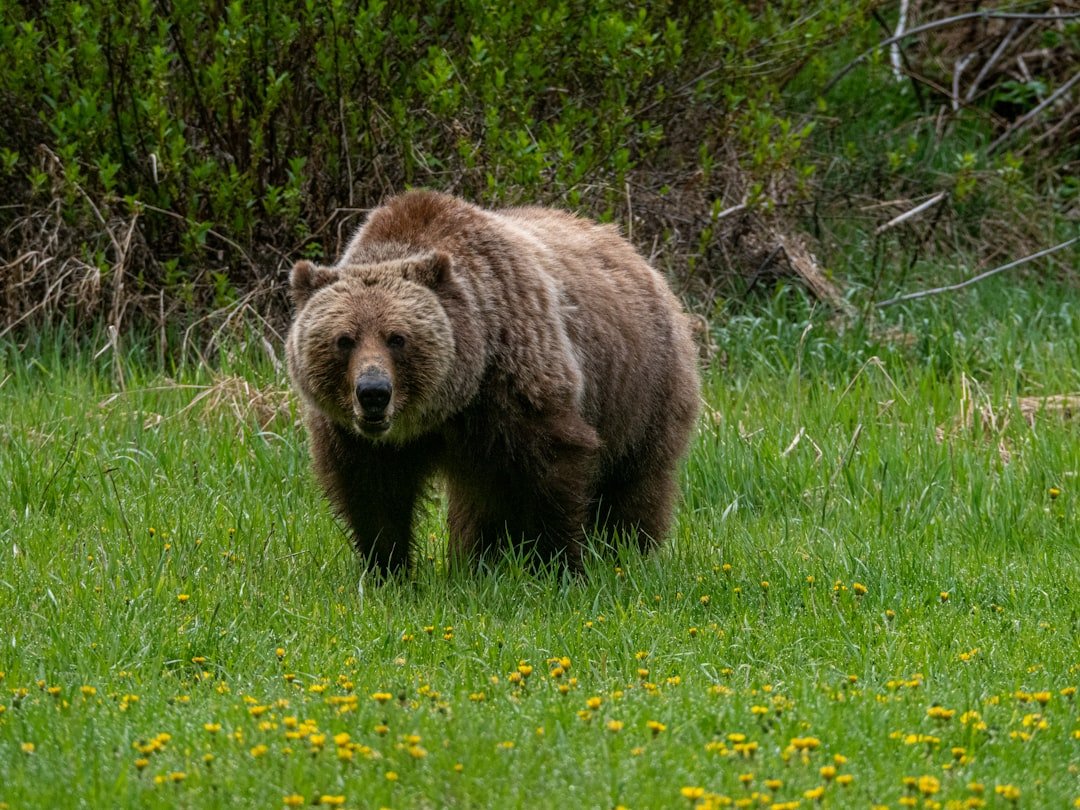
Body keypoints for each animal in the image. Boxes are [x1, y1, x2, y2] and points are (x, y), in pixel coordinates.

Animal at [286, 190, 700, 578]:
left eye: (397, 338)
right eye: (344, 339)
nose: (373, 392)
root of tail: (637, 255)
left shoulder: (515, 381)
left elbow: (551, 469)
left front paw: (559, 566)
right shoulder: (358, 437)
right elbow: (374, 494)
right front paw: (387, 570)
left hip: (641, 390)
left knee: (633, 482)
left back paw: (628, 551)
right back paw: (479, 560)